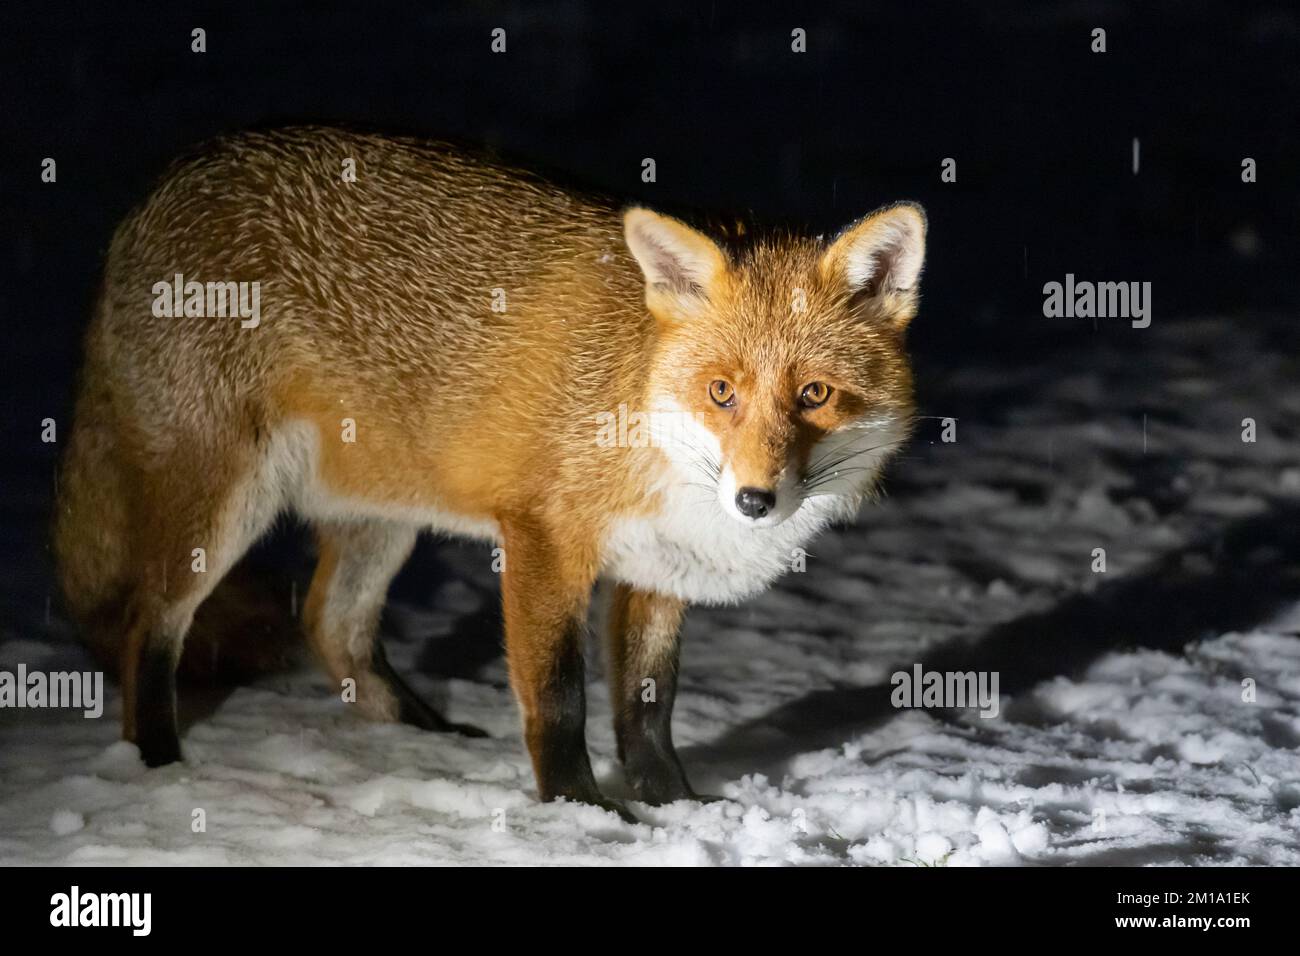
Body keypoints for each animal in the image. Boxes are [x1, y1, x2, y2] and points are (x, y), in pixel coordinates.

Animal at [53, 125, 925, 816]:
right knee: (148, 626)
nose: (753, 499)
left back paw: (426, 735)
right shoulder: (544, 537)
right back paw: (159, 764)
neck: (634, 405)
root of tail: (158, 188)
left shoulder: (657, 569)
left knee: (330, 623)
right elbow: (560, 700)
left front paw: (675, 804)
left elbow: (648, 709)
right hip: (223, 505)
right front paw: (580, 811)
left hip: (384, 518)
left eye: (813, 395)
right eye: (722, 392)